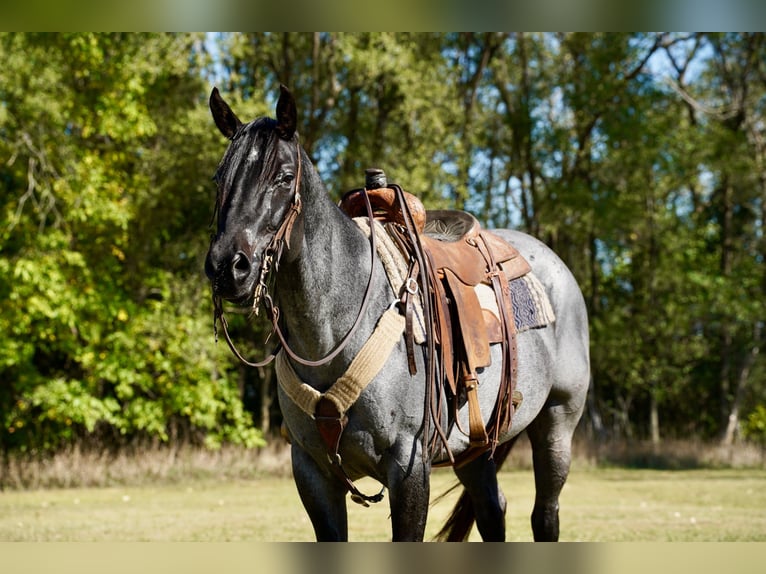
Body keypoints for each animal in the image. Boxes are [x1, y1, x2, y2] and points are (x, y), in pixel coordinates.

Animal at [204, 84, 590, 542]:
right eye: (220, 178)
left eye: (282, 176)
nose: (228, 266)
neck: (335, 333)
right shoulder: (312, 473)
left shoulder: (409, 467)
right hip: (474, 450)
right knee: (492, 510)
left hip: (557, 423)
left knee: (544, 514)